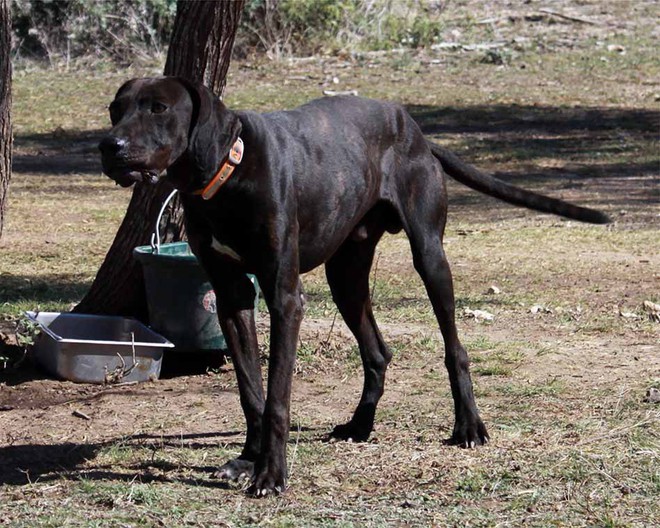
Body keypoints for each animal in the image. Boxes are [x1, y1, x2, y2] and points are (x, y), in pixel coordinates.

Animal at [98, 77, 608, 496]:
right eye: (115, 108)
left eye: (159, 108)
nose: (109, 145)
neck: (227, 174)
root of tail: (413, 127)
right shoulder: (231, 299)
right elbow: (250, 391)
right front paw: (248, 460)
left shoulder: (285, 298)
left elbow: (278, 396)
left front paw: (271, 474)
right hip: (345, 276)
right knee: (378, 352)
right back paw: (361, 425)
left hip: (430, 258)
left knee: (454, 347)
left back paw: (468, 426)